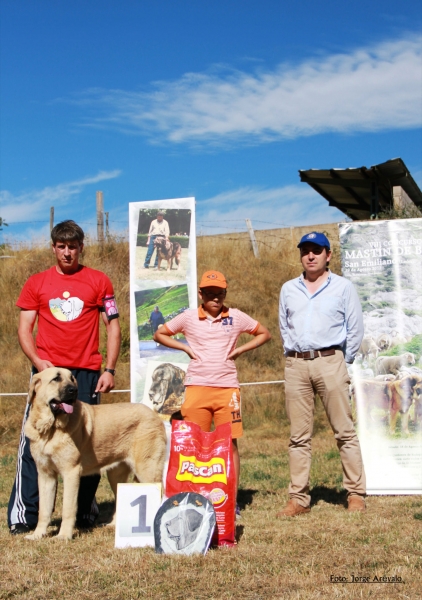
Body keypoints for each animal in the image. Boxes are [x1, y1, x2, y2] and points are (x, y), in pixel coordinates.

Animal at [23, 368, 166, 540]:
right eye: (56, 378)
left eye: (72, 379)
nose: (74, 390)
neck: (51, 429)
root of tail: (154, 414)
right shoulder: (45, 475)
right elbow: (44, 510)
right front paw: (37, 535)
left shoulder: (71, 472)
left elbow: (68, 508)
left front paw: (63, 536)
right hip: (116, 474)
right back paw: (113, 526)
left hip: (147, 470)